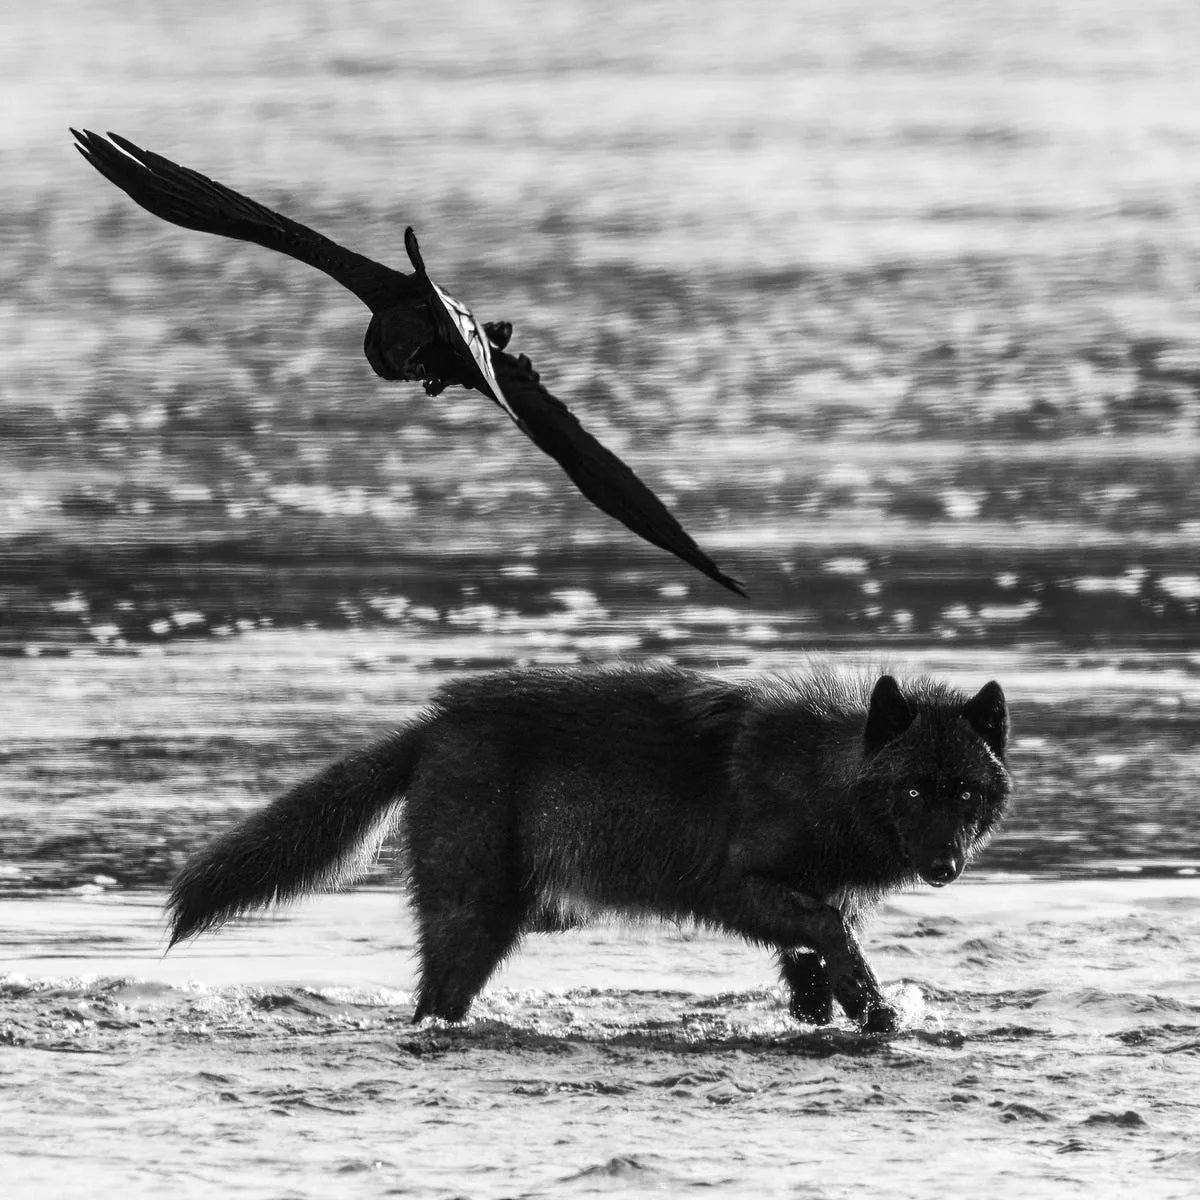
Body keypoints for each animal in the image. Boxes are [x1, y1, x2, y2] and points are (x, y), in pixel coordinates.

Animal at [168, 664, 1010, 1032]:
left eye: (964, 793)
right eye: (913, 793)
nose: (944, 866)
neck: (824, 782)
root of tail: (432, 726)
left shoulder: (801, 915)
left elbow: (817, 968)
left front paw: (839, 1014)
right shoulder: (738, 889)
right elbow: (835, 933)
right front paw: (880, 1012)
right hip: (475, 919)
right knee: (434, 1003)